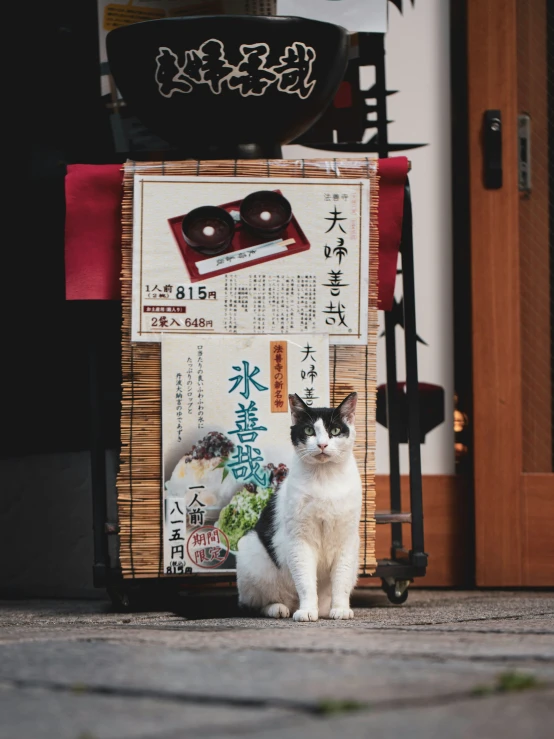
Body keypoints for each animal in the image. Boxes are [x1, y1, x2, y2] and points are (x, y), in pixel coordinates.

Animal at [234, 390, 360, 620]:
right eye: (309, 430)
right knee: (255, 603)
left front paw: (340, 609)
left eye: (335, 431)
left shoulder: (347, 541)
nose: (322, 444)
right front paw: (307, 611)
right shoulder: (299, 541)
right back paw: (279, 608)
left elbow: (342, 580)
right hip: (250, 554)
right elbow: (305, 580)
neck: (324, 478)